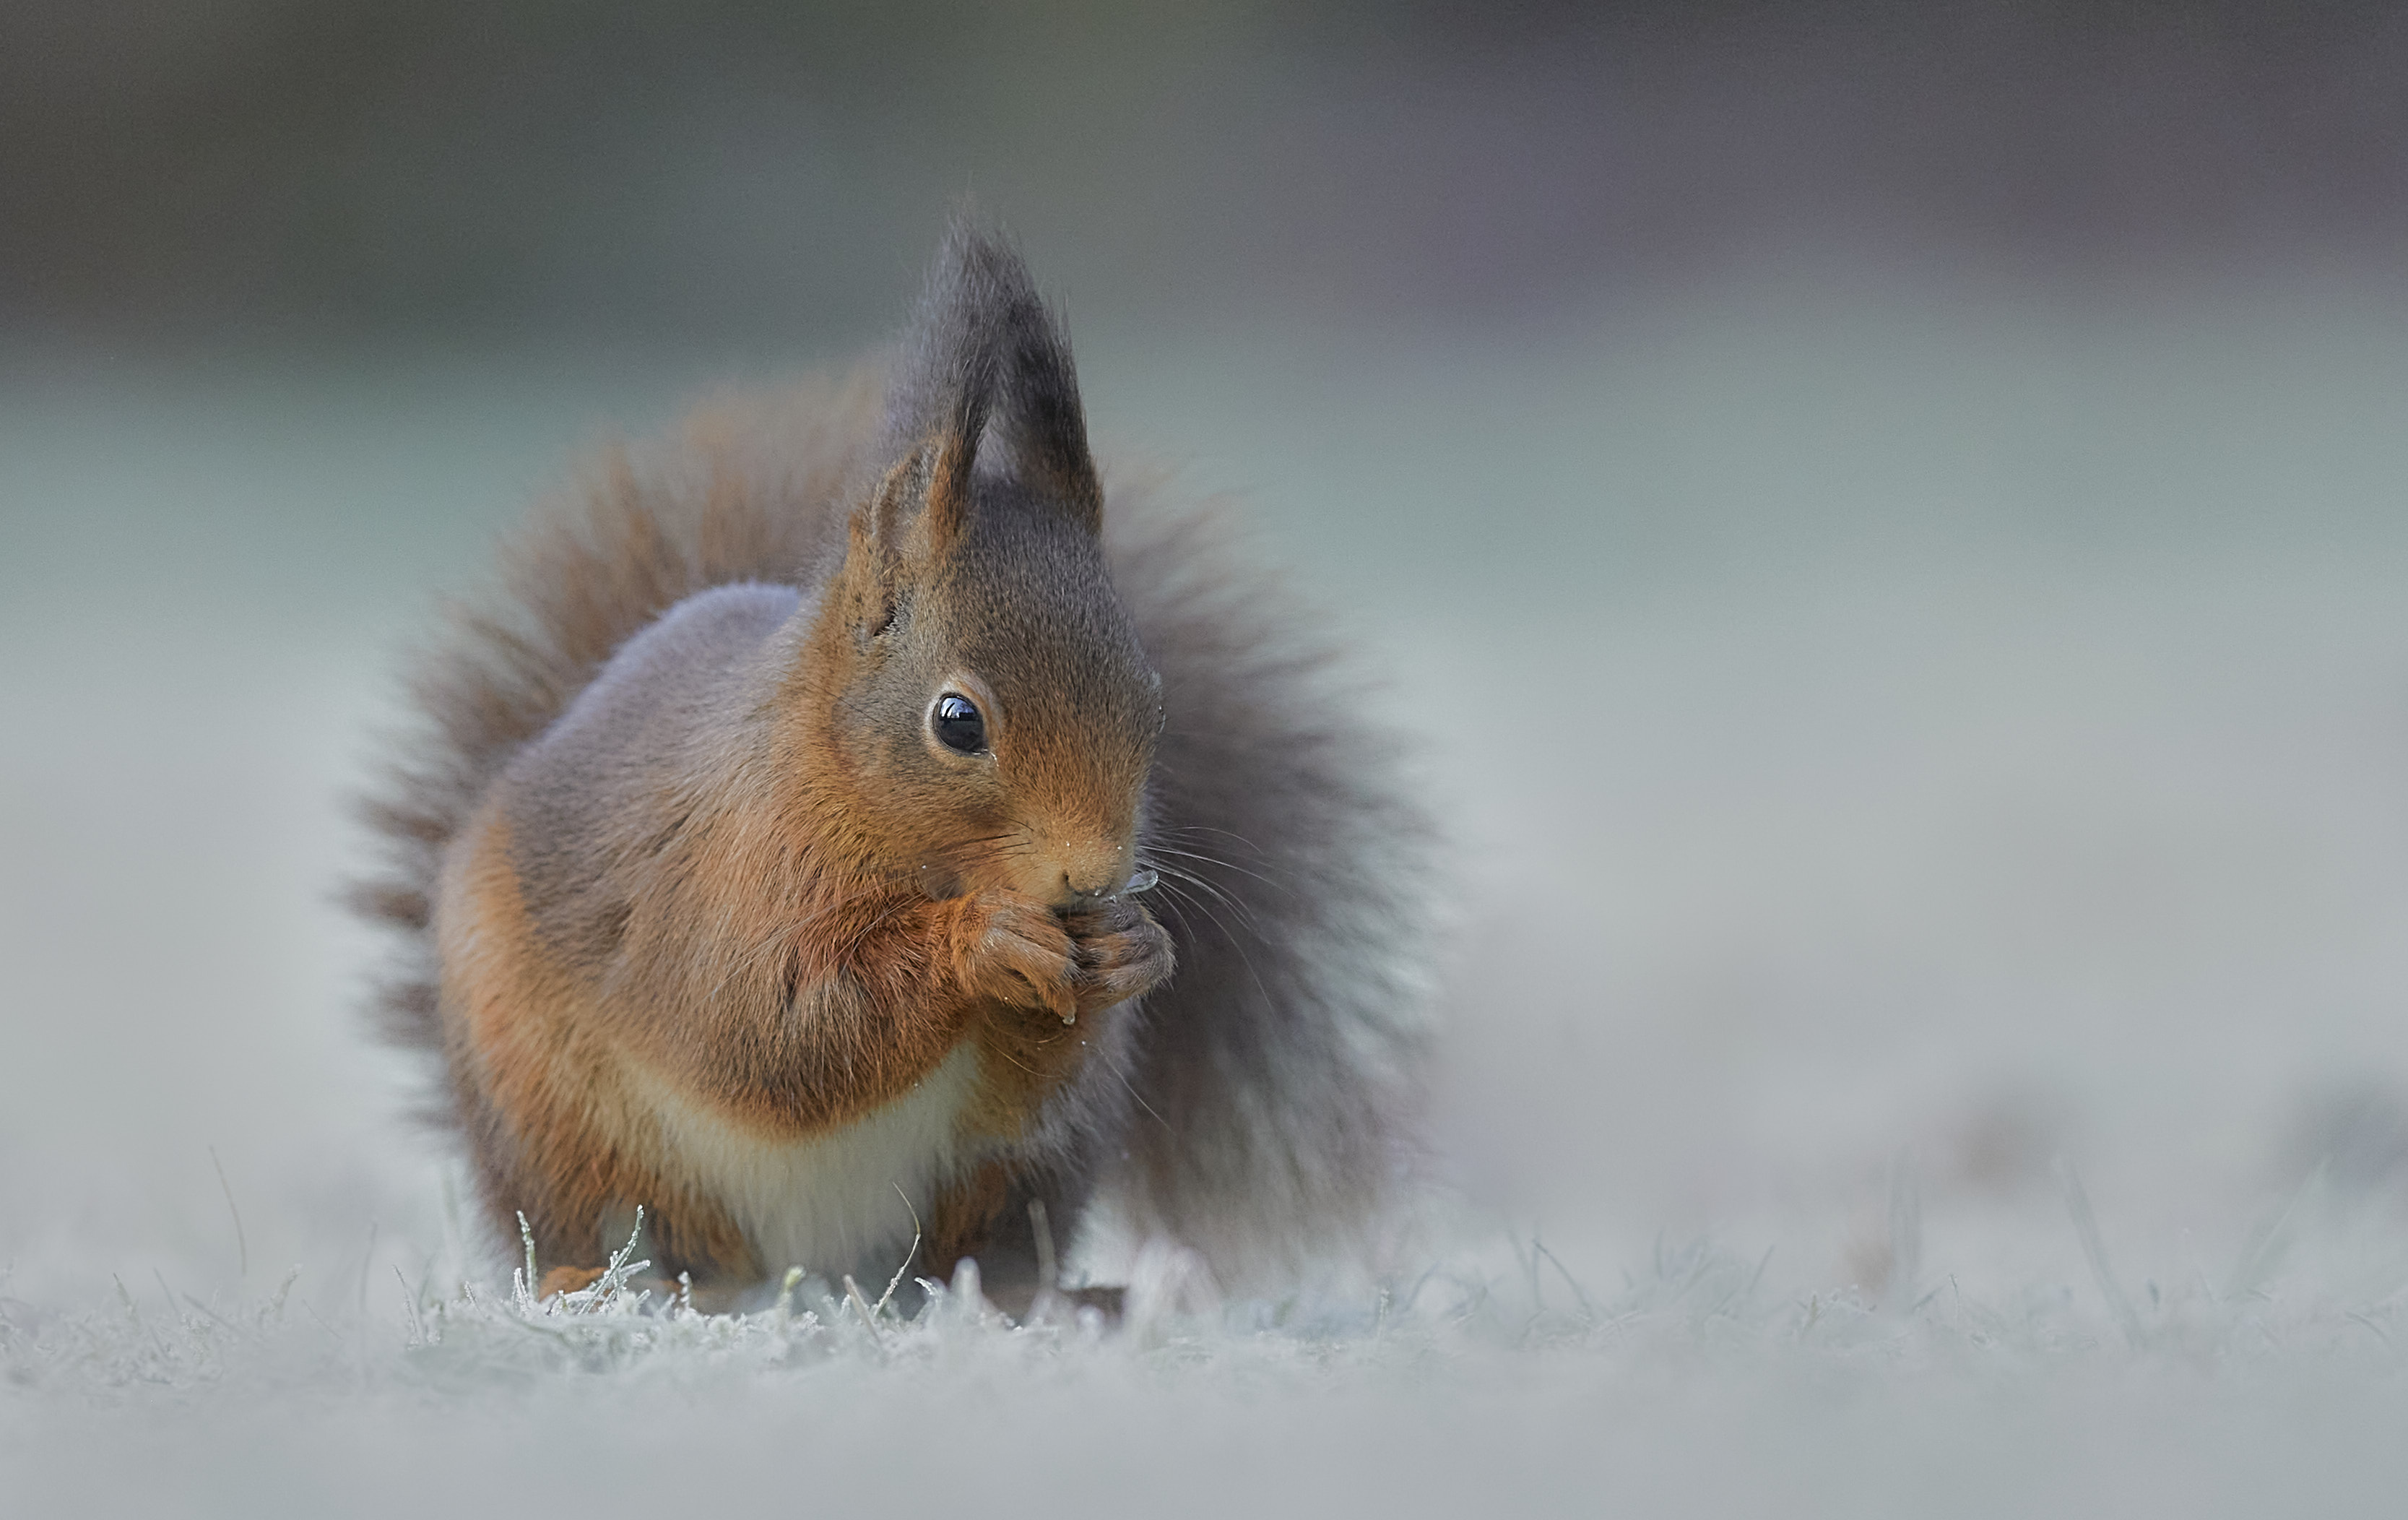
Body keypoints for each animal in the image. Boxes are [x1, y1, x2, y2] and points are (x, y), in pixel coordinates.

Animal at [349, 226, 1416, 1310]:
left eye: (1153, 699)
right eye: (957, 721)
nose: (1092, 878)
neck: (851, 792)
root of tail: (824, 1273)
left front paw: (1134, 948)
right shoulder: (722, 881)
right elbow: (777, 1028)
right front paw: (981, 942)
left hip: (1026, 1166)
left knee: (981, 1249)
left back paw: (1051, 1294)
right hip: (556, 1117)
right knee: (628, 1226)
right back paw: (604, 1279)